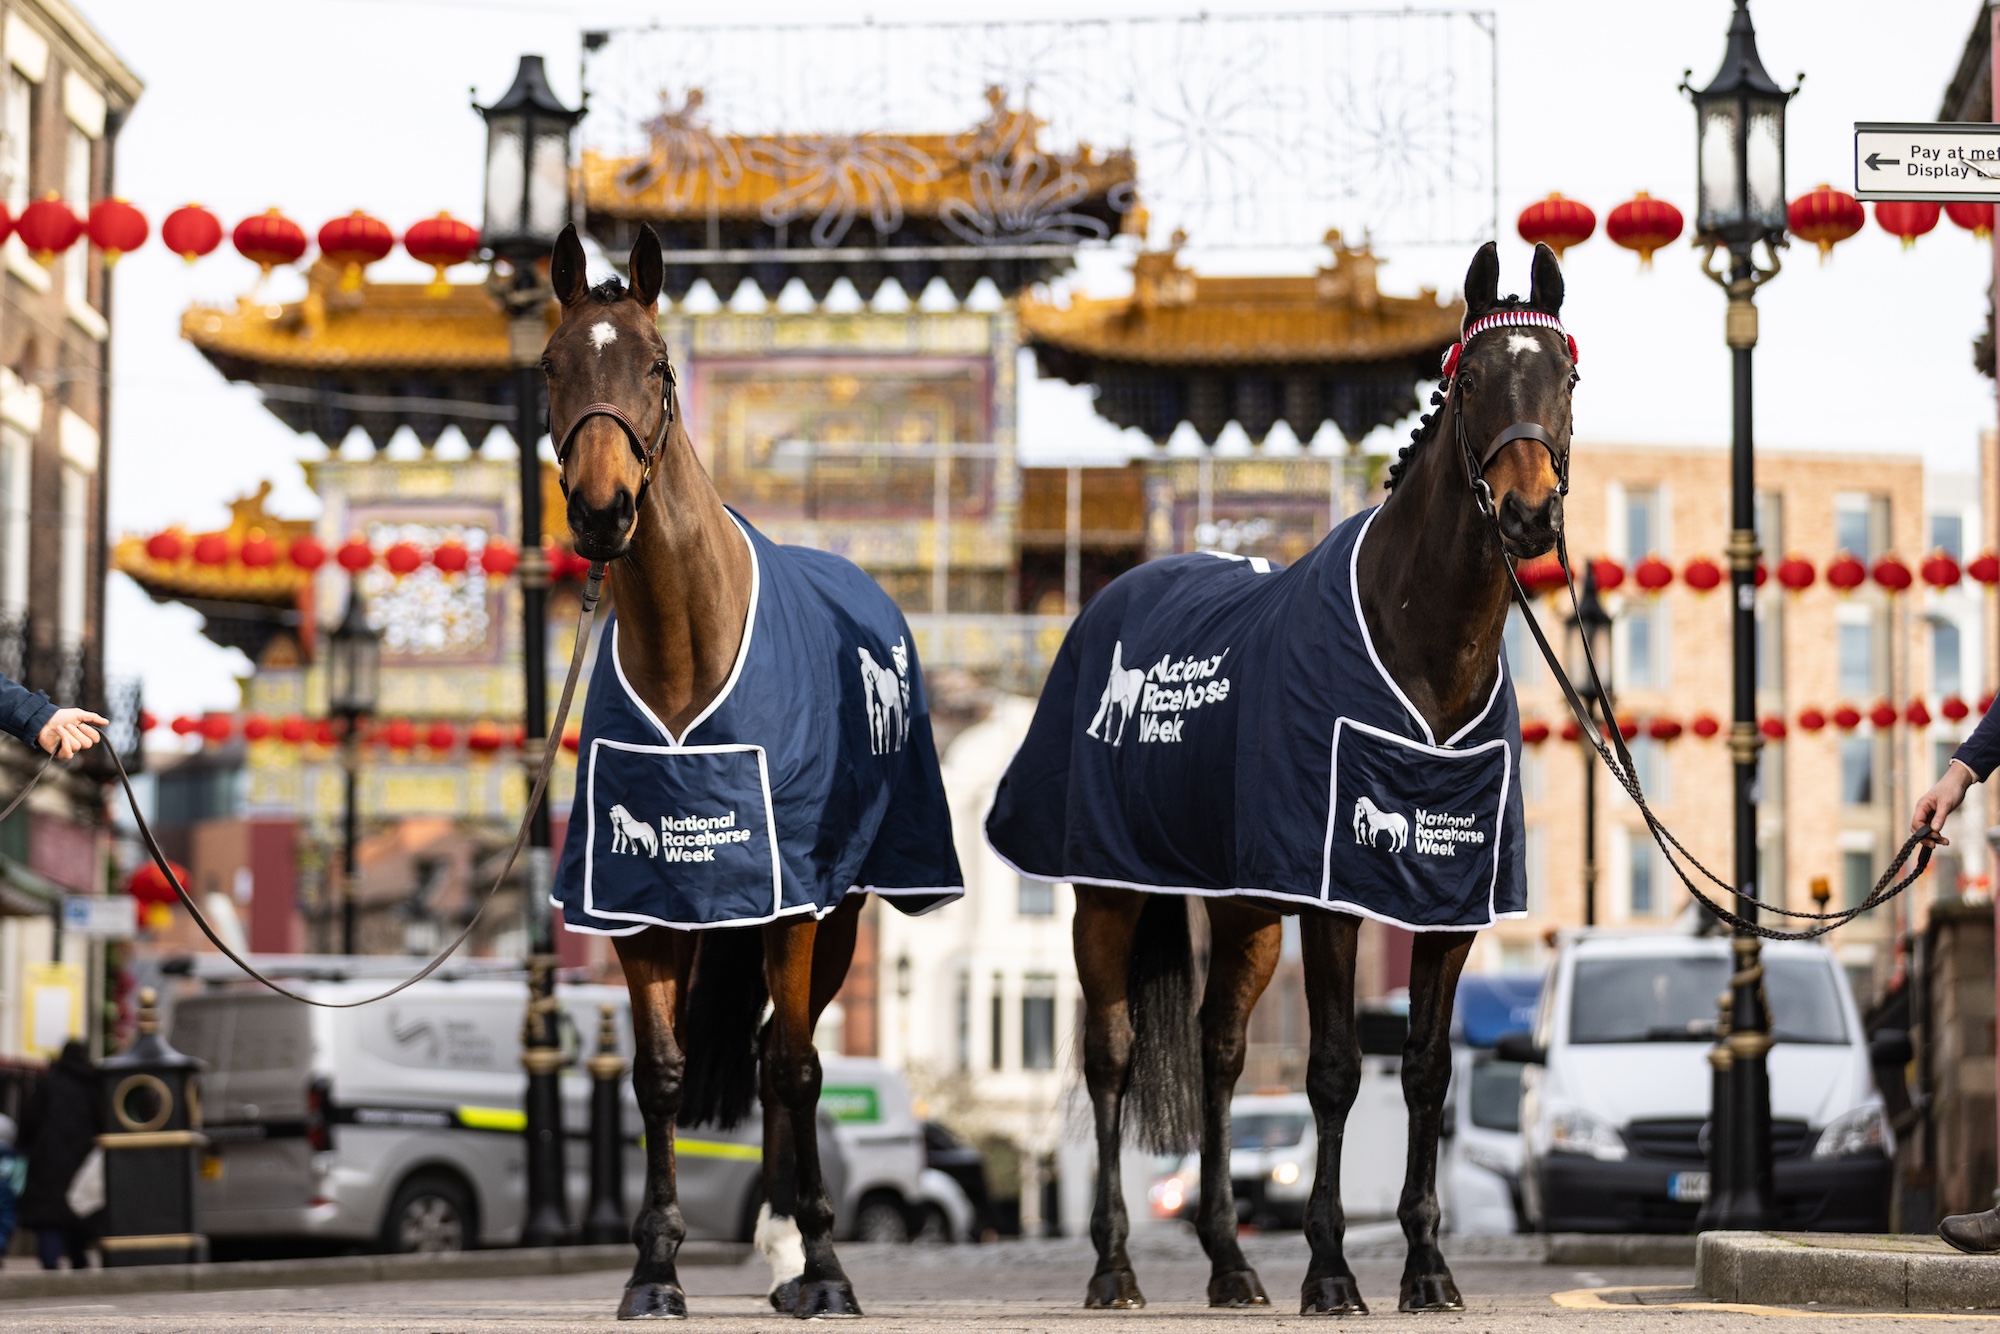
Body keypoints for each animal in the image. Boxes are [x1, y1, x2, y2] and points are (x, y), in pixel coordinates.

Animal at [544, 222, 960, 1320]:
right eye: (552, 365)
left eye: (655, 364)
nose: (601, 510)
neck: (687, 644)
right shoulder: (640, 899)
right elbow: (659, 1073)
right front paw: (653, 1267)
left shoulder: (795, 900)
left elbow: (796, 1069)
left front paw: (824, 1261)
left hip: (838, 912)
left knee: (787, 1054)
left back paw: (792, 1253)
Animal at [986, 241, 1571, 1314]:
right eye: (1470, 378)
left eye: (1568, 376)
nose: (1525, 513)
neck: (1420, 655)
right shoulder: (1330, 894)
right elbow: (1334, 1069)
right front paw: (1333, 1269)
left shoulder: (1448, 903)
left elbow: (1426, 1071)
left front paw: (1426, 1267)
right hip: (1108, 891)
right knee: (1111, 1057)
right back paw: (1115, 1265)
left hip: (1248, 906)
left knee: (1218, 1051)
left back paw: (1230, 1261)